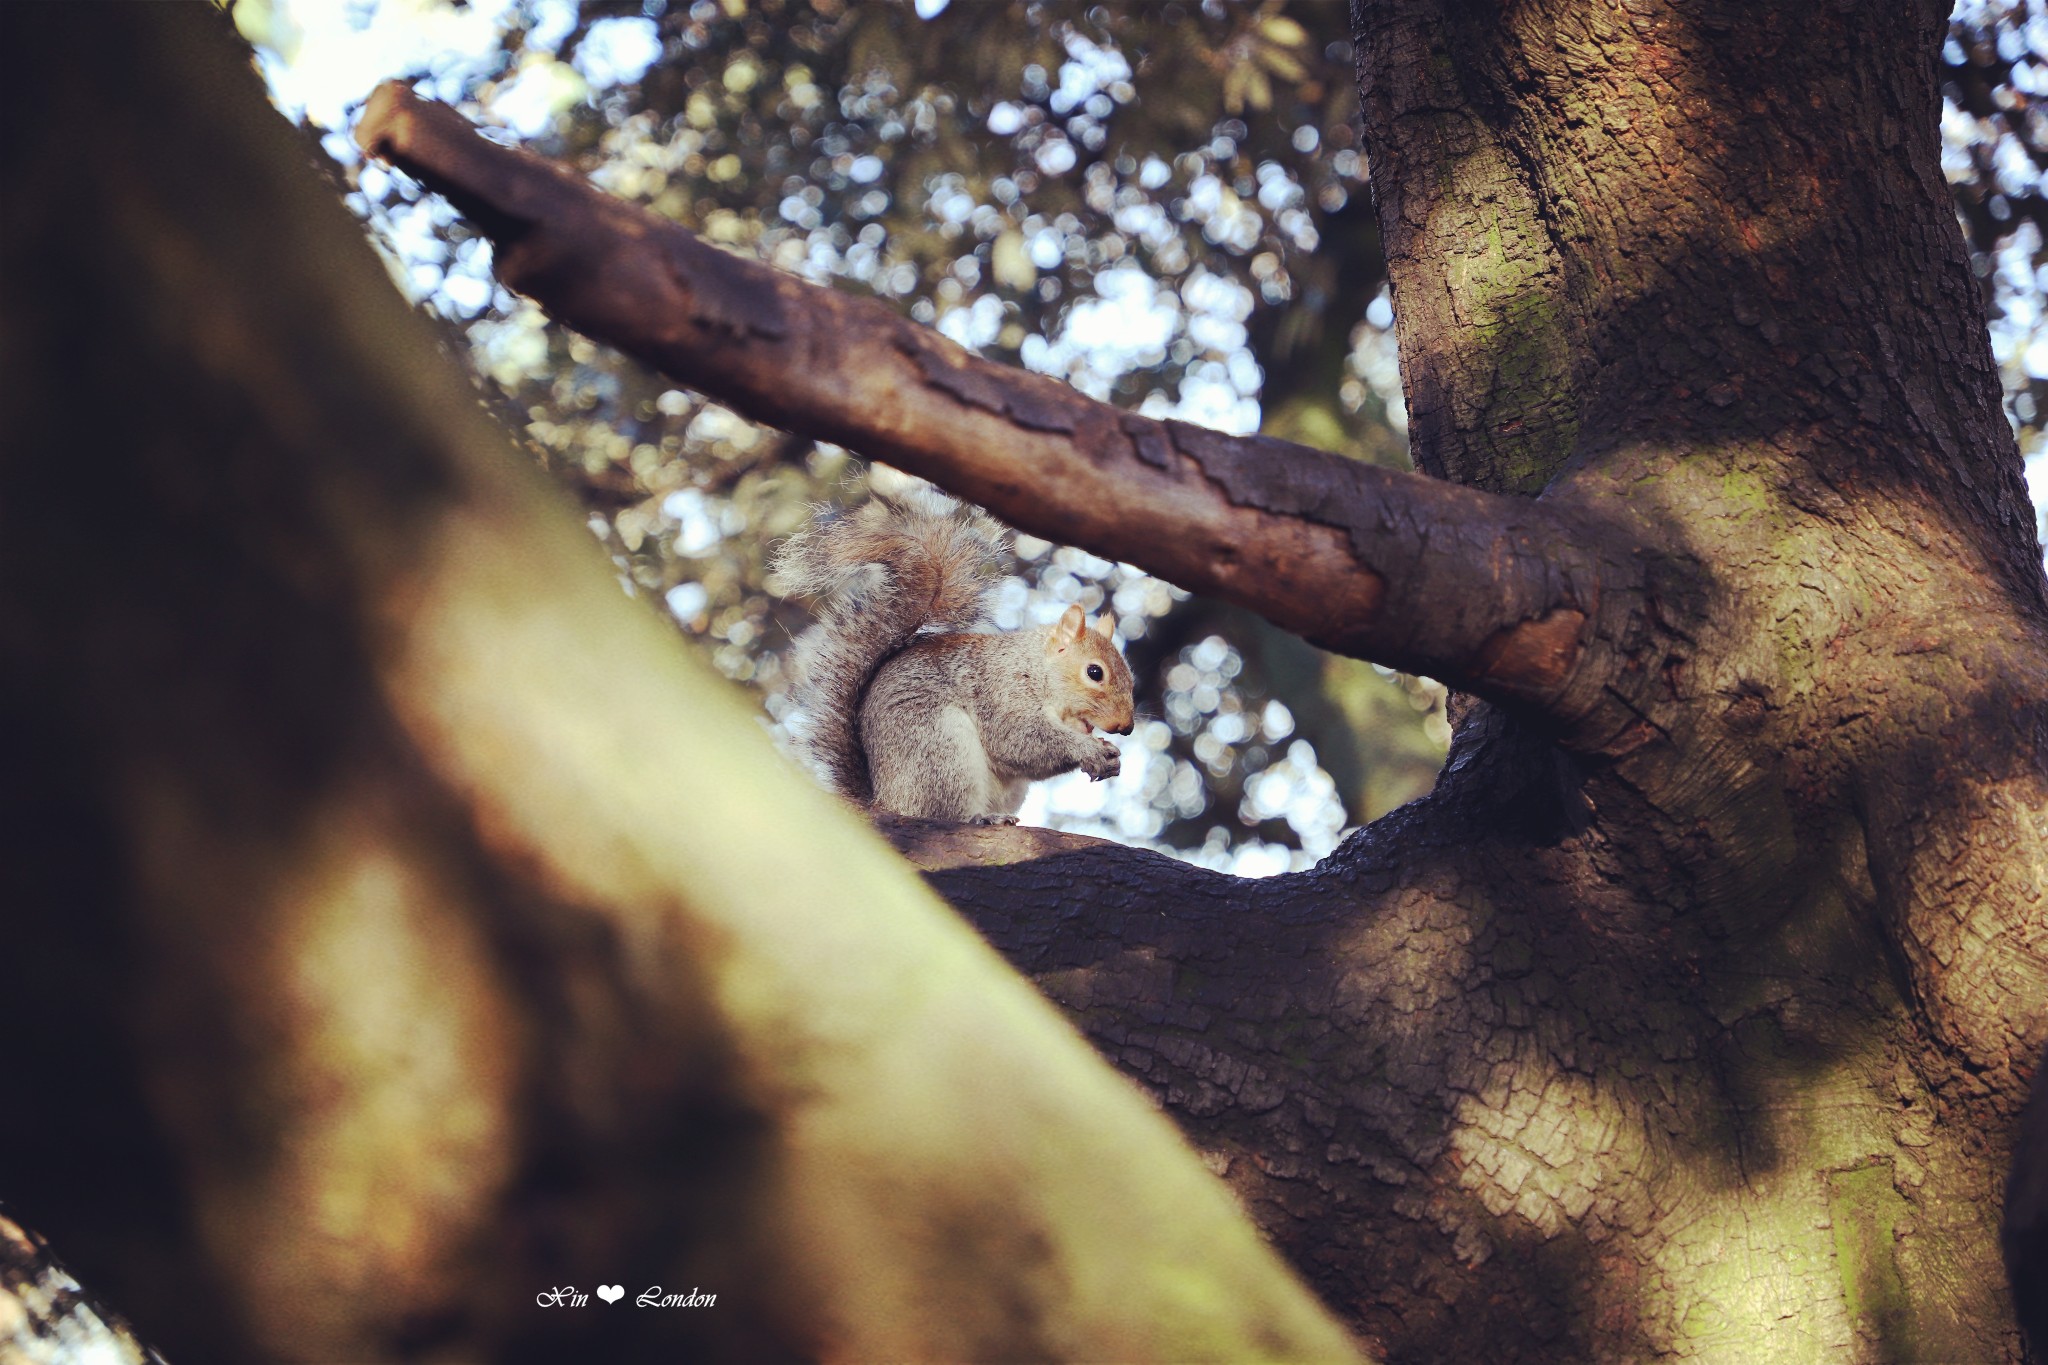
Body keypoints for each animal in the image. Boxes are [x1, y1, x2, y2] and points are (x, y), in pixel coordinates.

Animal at [778, 497, 1146, 826]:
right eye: (1094, 672)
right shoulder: (1003, 693)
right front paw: (1089, 750)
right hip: (940, 751)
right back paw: (982, 818)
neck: (1035, 668)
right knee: (944, 813)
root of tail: (884, 801)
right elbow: (1018, 741)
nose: (1125, 727)